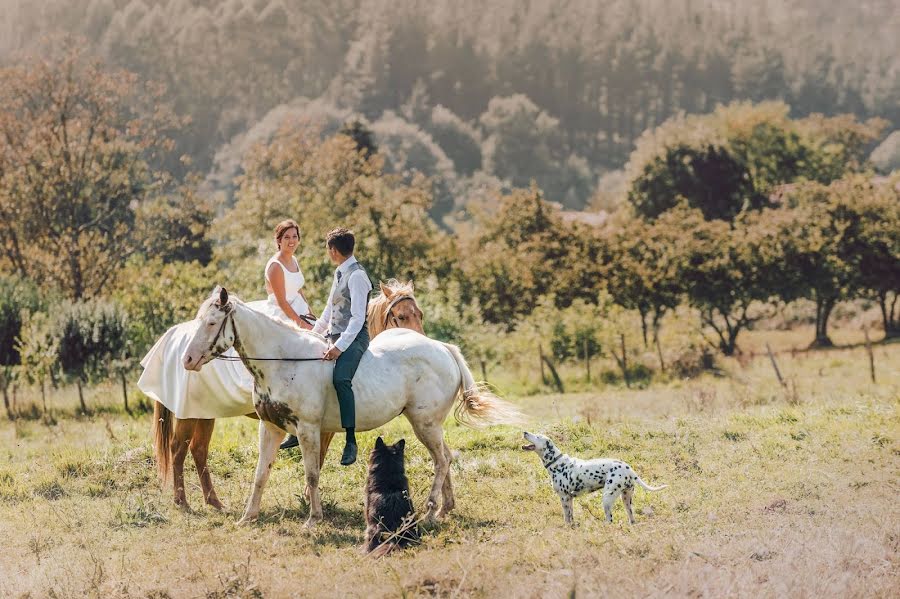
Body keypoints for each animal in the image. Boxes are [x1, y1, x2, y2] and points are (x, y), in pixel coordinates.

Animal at [149, 278, 426, 508]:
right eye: (401, 316)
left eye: (419, 314)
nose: (421, 343)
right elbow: (317, 461)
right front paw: (309, 500)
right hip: (190, 414)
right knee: (178, 449)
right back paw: (182, 502)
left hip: (206, 414)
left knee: (198, 450)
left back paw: (214, 502)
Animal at [181, 288, 520, 528]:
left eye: (211, 323)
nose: (187, 360)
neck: (284, 360)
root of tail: (443, 349)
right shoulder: (271, 428)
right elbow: (260, 473)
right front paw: (248, 518)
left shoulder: (308, 429)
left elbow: (312, 473)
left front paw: (313, 520)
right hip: (428, 425)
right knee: (446, 457)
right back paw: (443, 510)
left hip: (424, 423)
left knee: (441, 460)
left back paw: (430, 513)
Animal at [520, 432, 668, 524]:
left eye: (537, 436)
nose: (525, 432)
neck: (557, 463)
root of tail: (629, 469)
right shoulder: (569, 499)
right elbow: (571, 517)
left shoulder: (564, 498)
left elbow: (566, 517)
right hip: (626, 499)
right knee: (631, 518)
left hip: (607, 498)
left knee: (609, 520)